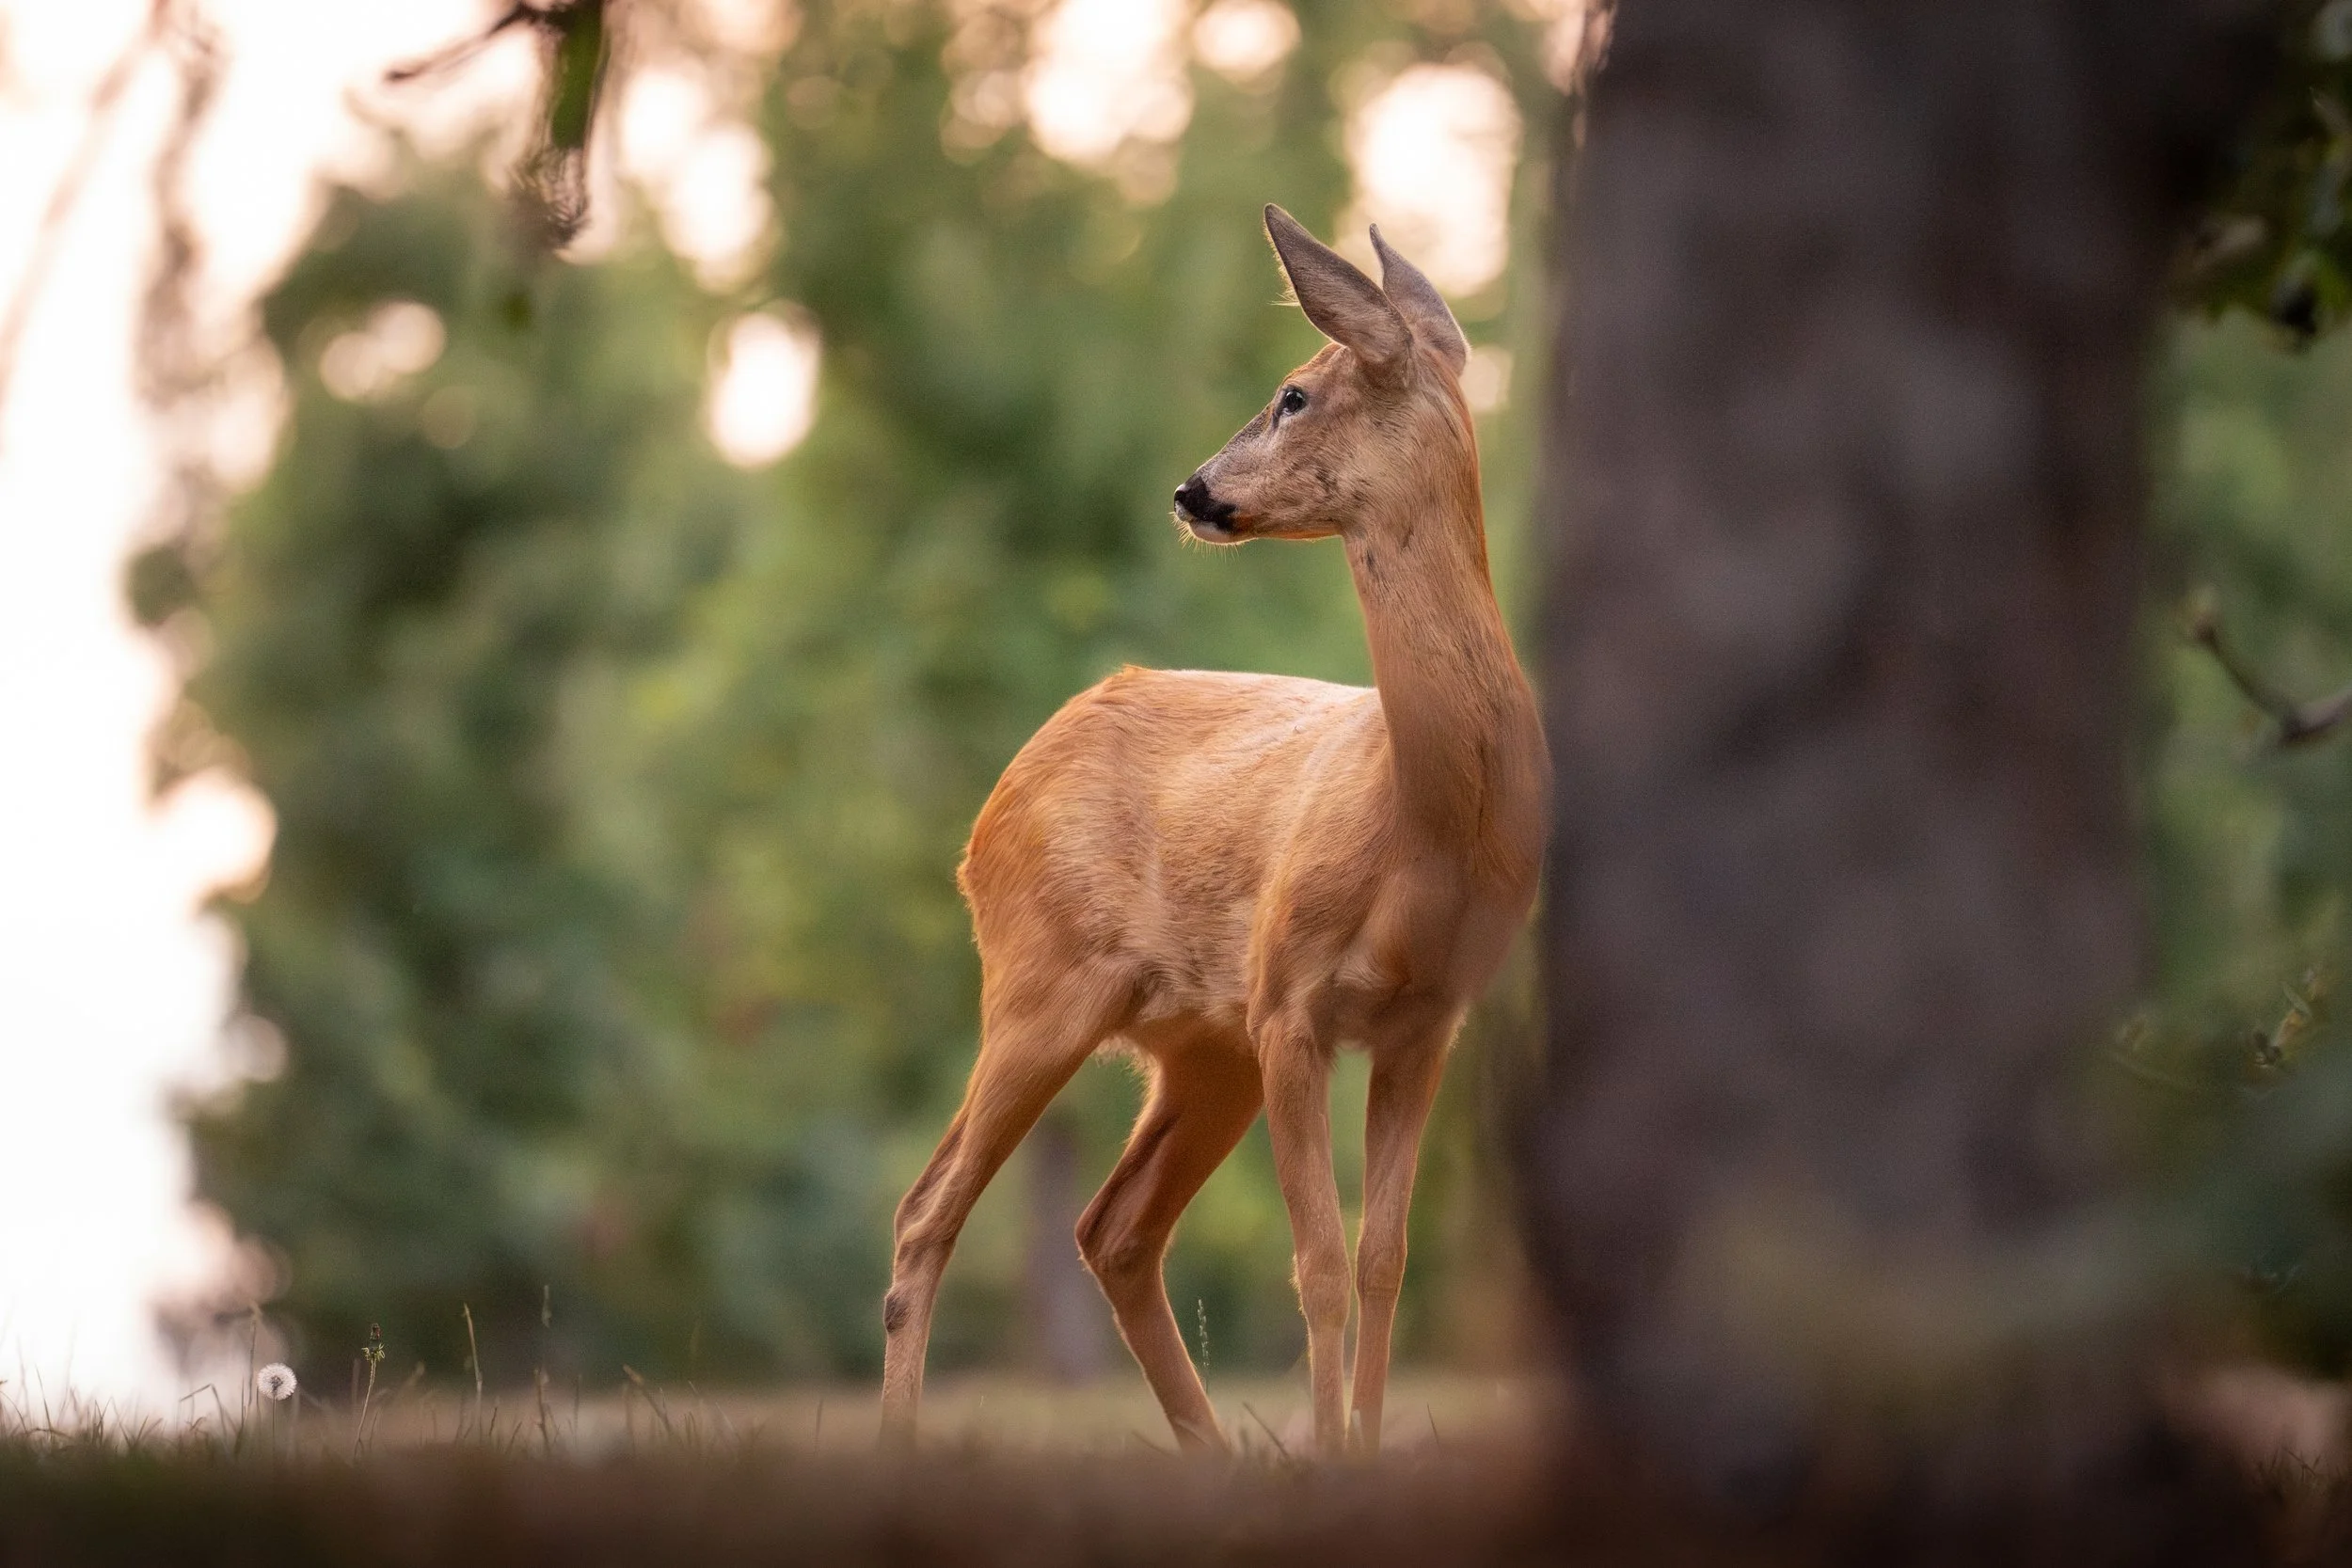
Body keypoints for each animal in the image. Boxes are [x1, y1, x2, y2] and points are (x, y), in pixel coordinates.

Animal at [877, 205, 1549, 1458]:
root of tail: (985, 815)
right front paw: (1330, 1456)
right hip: (1042, 981)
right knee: (924, 1209)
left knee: (1112, 1227)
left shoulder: (1426, 1019)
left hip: (1200, 1040)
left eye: (1293, 393)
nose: (1191, 490)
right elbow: (1317, 1262)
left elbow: (1381, 1260)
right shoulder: (1290, 999)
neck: (1418, 821)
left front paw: (1357, 1454)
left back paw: (1214, 1455)